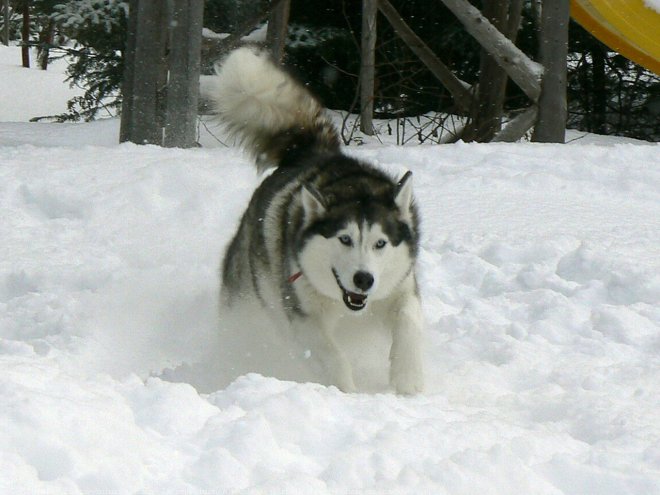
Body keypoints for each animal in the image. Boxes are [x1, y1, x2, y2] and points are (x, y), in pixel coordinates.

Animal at [214, 46, 426, 396]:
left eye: (380, 243)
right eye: (345, 239)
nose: (364, 279)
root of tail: (312, 152)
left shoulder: (400, 288)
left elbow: (408, 324)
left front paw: (408, 382)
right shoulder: (302, 316)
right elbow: (331, 356)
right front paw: (346, 393)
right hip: (247, 297)